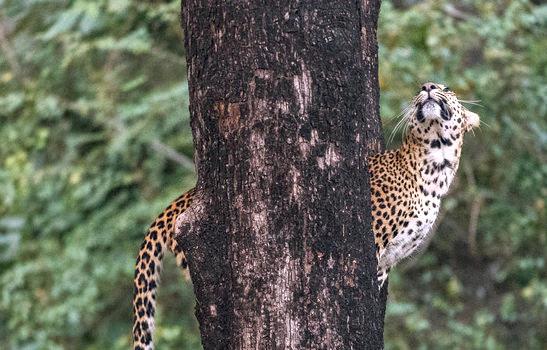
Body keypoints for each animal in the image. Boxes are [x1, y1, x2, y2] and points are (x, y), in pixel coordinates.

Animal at [132, 81, 480, 348]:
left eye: (446, 88)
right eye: (427, 87)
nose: (428, 87)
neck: (436, 164)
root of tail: (183, 197)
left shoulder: (387, 261)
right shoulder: (373, 239)